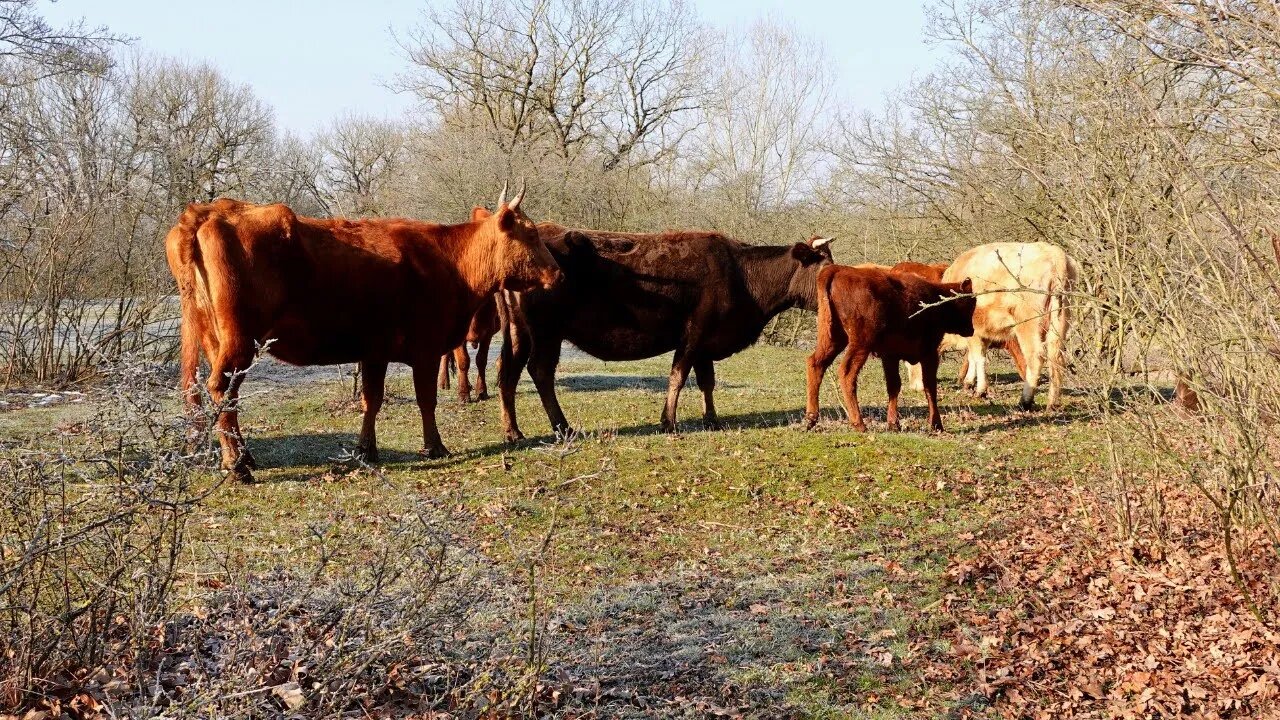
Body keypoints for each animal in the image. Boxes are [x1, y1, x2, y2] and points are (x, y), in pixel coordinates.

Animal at [165, 181, 560, 479]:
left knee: (217, 395)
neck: (450, 260)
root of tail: (206, 211)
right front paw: (434, 446)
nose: (558, 273)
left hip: (216, 340)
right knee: (221, 391)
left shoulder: (375, 351)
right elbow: (426, 399)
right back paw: (237, 466)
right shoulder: (427, 349)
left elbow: (371, 400)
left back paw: (244, 457)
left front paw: (366, 450)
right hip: (239, 342)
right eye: (530, 234)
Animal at [494, 229, 834, 438]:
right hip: (547, 333)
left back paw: (513, 431)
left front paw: (711, 419)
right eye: (824, 267)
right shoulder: (693, 334)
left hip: (520, 334)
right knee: (540, 371)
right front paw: (669, 421)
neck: (742, 274)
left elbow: (707, 382)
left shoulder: (705, 343)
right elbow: (678, 377)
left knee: (507, 373)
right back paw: (563, 427)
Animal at [803, 265, 972, 427]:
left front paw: (893, 423)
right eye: (969, 304)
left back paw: (811, 418)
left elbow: (894, 386)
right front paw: (936, 424)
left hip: (832, 339)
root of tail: (838, 270)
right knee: (847, 373)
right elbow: (930, 386)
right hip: (860, 344)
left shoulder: (890, 356)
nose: (971, 329)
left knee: (816, 363)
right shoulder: (930, 353)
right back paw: (859, 424)